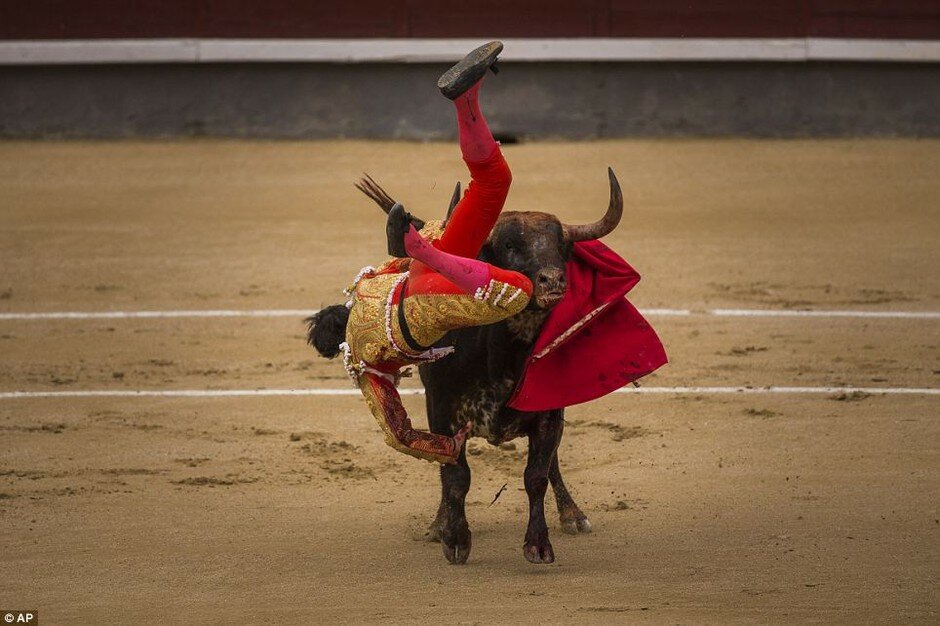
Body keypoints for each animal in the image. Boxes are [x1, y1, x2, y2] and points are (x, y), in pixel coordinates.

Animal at [354, 168, 624, 564]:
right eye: (510, 246)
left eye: (561, 246)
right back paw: (437, 525)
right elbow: (455, 475)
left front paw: (538, 542)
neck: (504, 357)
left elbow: (537, 473)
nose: (553, 280)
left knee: (552, 463)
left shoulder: (549, 412)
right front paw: (454, 538)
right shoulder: (442, 410)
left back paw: (573, 515)